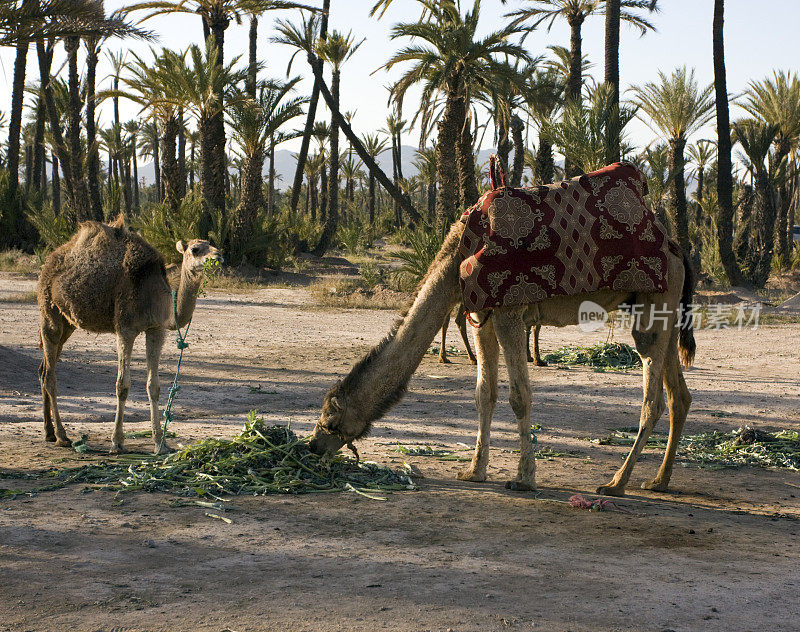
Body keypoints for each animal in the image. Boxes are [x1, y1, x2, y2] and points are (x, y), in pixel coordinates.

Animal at [36, 217, 219, 454]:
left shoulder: (156, 330)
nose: (218, 256)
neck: (154, 296)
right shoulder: (125, 328)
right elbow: (122, 385)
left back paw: (48, 432)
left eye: (212, 245)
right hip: (48, 309)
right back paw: (62, 436)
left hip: (68, 322)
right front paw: (116, 442)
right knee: (50, 374)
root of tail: (49, 261)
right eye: (196, 249)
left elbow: (153, 386)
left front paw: (160, 443)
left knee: (44, 369)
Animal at [310, 163, 696, 498]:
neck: (457, 258)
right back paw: (659, 480)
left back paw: (616, 483)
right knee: (678, 395)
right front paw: (474, 471)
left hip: (654, 305)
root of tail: (676, 249)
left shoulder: (509, 313)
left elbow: (519, 396)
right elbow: (484, 394)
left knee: (652, 398)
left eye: (330, 420)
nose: (311, 446)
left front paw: (524, 479)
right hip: (665, 310)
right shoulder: (482, 317)